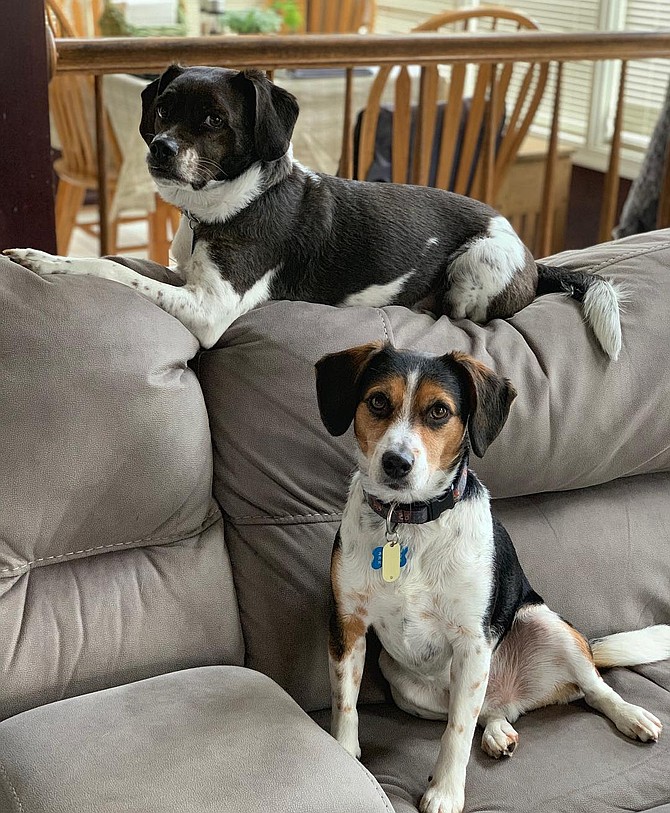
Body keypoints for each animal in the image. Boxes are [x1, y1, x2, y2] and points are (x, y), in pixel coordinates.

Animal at [5, 63, 624, 356]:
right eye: (162, 109)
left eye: (213, 120)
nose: (159, 148)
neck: (235, 201)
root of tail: (533, 260)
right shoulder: (188, 278)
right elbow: (133, 268)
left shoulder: (211, 309)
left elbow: (111, 268)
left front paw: (44, 261)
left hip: (475, 268)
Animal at [316, 340, 670, 812]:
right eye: (376, 402)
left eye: (439, 411)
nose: (396, 463)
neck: (407, 522)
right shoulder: (348, 625)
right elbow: (346, 703)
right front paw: (344, 754)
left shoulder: (472, 641)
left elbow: (456, 734)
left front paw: (444, 792)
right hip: (405, 684)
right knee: (489, 709)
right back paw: (500, 731)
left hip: (545, 625)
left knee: (594, 689)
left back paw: (631, 716)